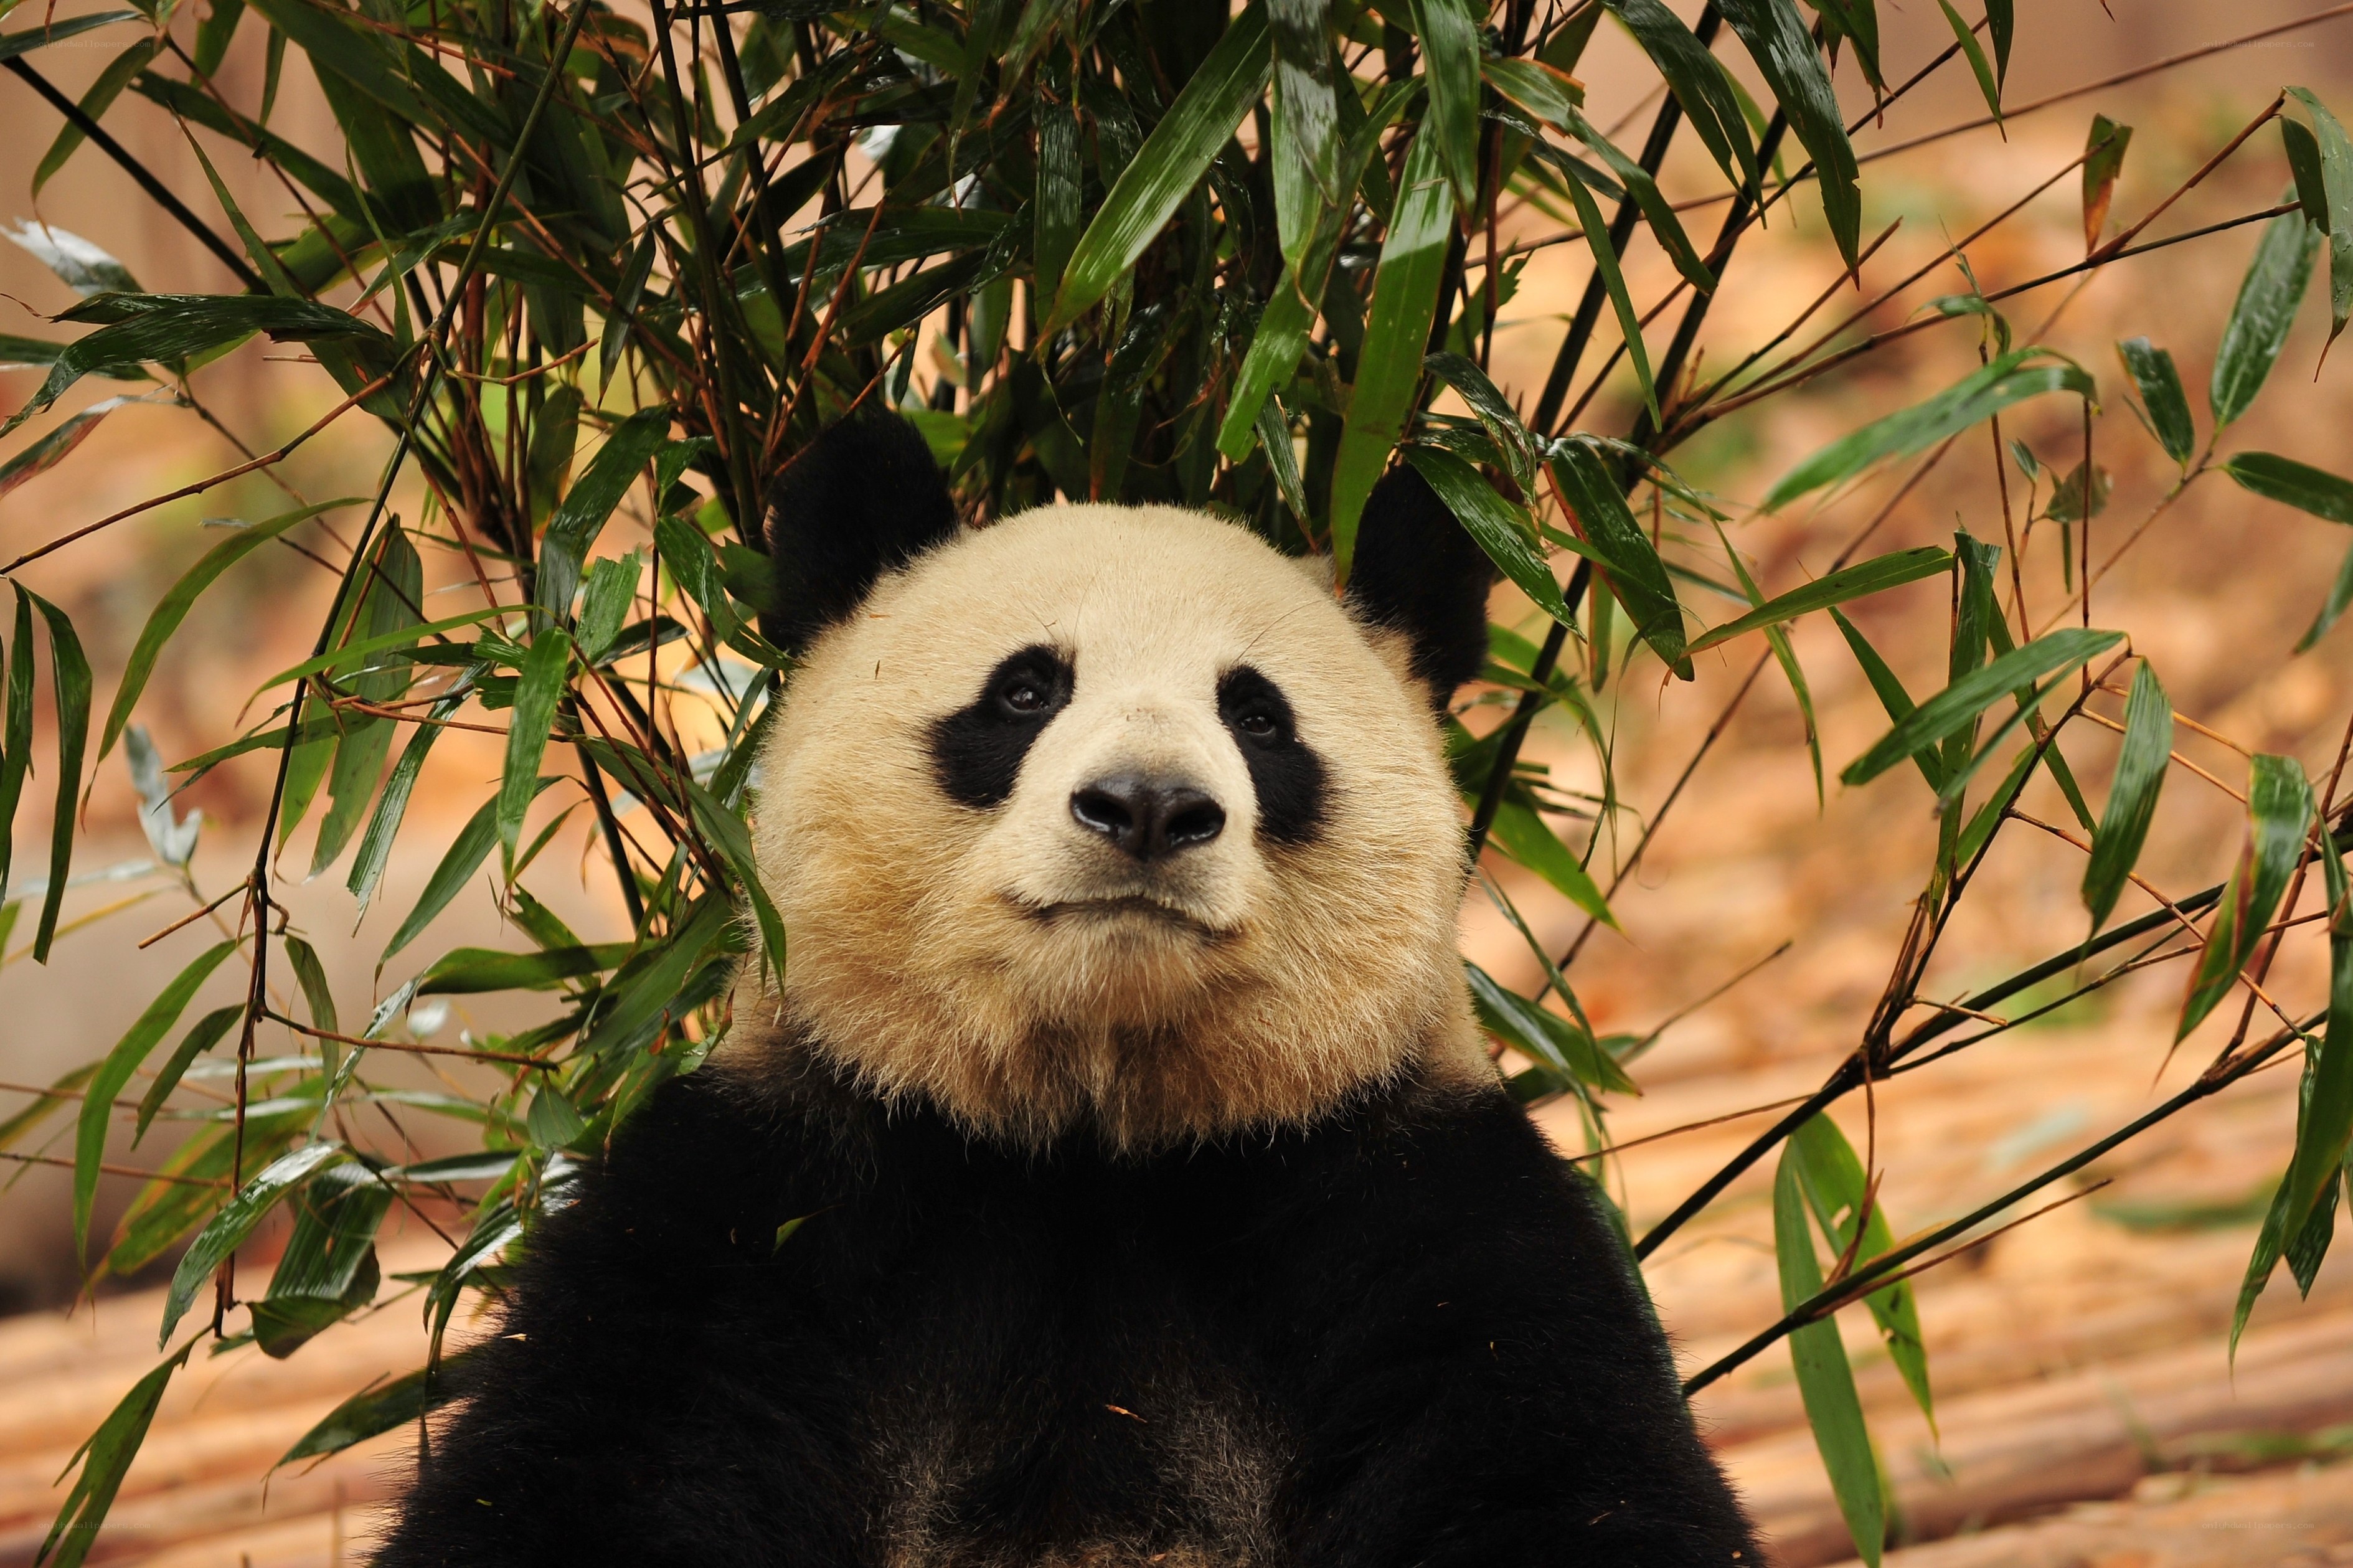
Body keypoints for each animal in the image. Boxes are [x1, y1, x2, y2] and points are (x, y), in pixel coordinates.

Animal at [374, 414, 1759, 1567]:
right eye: (1026, 688)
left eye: (1258, 717)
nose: (1146, 805)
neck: (1093, 1134)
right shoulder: (768, 1204)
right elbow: (585, 1466)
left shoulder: (1412, 1205)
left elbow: (1564, 1477)